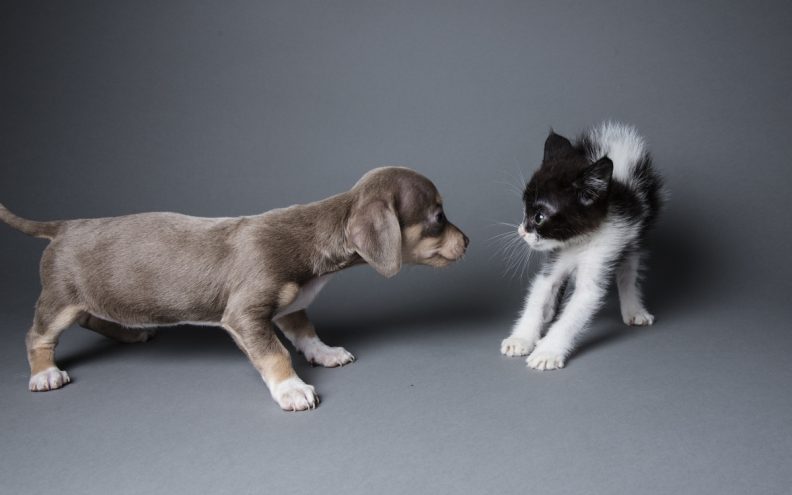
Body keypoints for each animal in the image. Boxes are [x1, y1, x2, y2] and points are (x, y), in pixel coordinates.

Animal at [1, 167, 470, 410]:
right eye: (438, 218)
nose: (467, 241)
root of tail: (64, 226)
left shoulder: (291, 306)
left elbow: (306, 334)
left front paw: (325, 353)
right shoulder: (246, 316)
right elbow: (276, 353)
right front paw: (292, 388)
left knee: (94, 317)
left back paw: (129, 333)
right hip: (59, 299)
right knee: (38, 335)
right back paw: (44, 373)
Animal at [502, 122, 664, 370]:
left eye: (539, 217)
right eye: (524, 210)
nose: (521, 231)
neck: (578, 242)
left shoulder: (604, 251)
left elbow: (575, 311)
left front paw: (548, 351)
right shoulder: (555, 260)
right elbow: (540, 292)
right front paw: (522, 338)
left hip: (634, 238)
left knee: (628, 272)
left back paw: (634, 309)